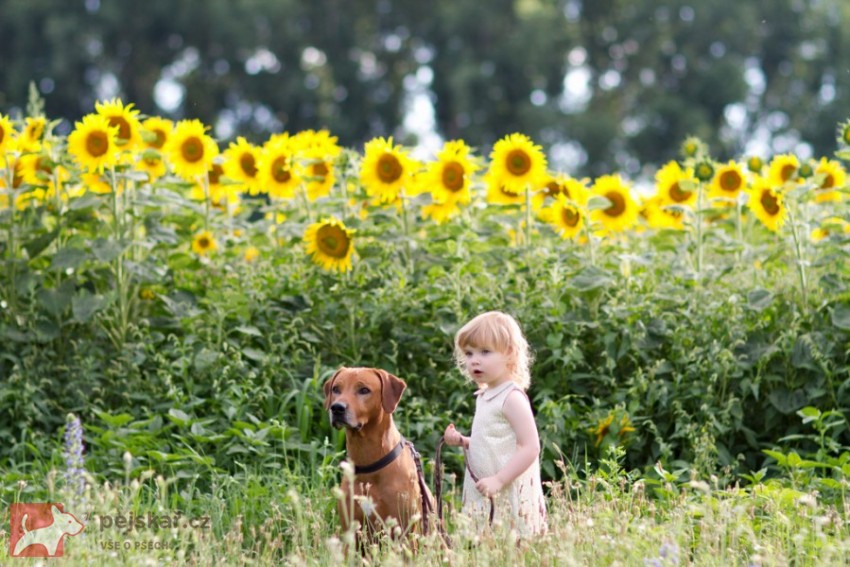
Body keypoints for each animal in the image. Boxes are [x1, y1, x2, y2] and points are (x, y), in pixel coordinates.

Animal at [322, 368, 434, 540]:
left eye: (364, 390)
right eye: (336, 389)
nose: (337, 408)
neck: (369, 464)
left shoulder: (404, 531)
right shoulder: (350, 529)